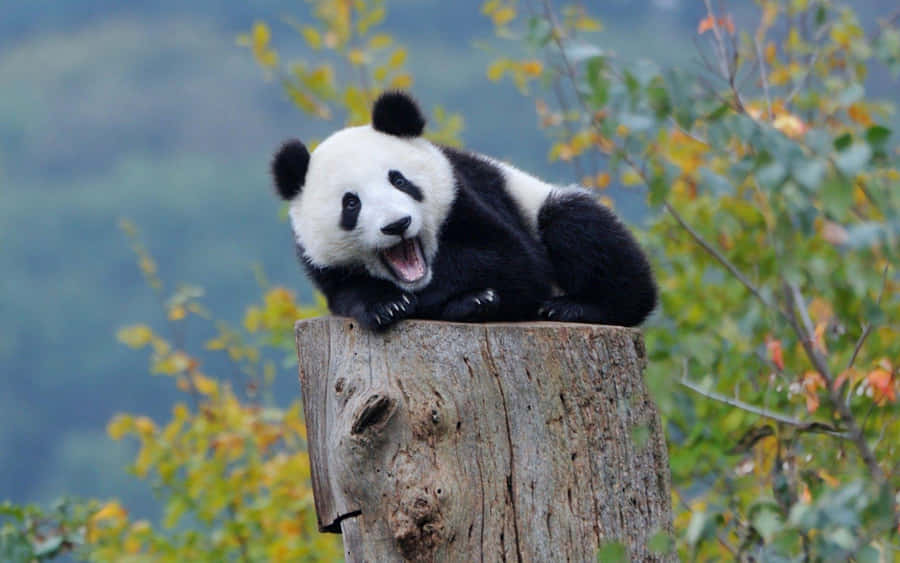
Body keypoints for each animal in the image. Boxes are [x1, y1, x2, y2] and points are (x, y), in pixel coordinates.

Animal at [271, 91, 656, 331]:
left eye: (399, 180)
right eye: (351, 203)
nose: (397, 224)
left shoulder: (467, 196)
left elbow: (513, 261)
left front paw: (466, 297)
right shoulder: (322, 264)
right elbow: (347, 294)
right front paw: (386, 306)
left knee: (579, 229)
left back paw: (576, 307)